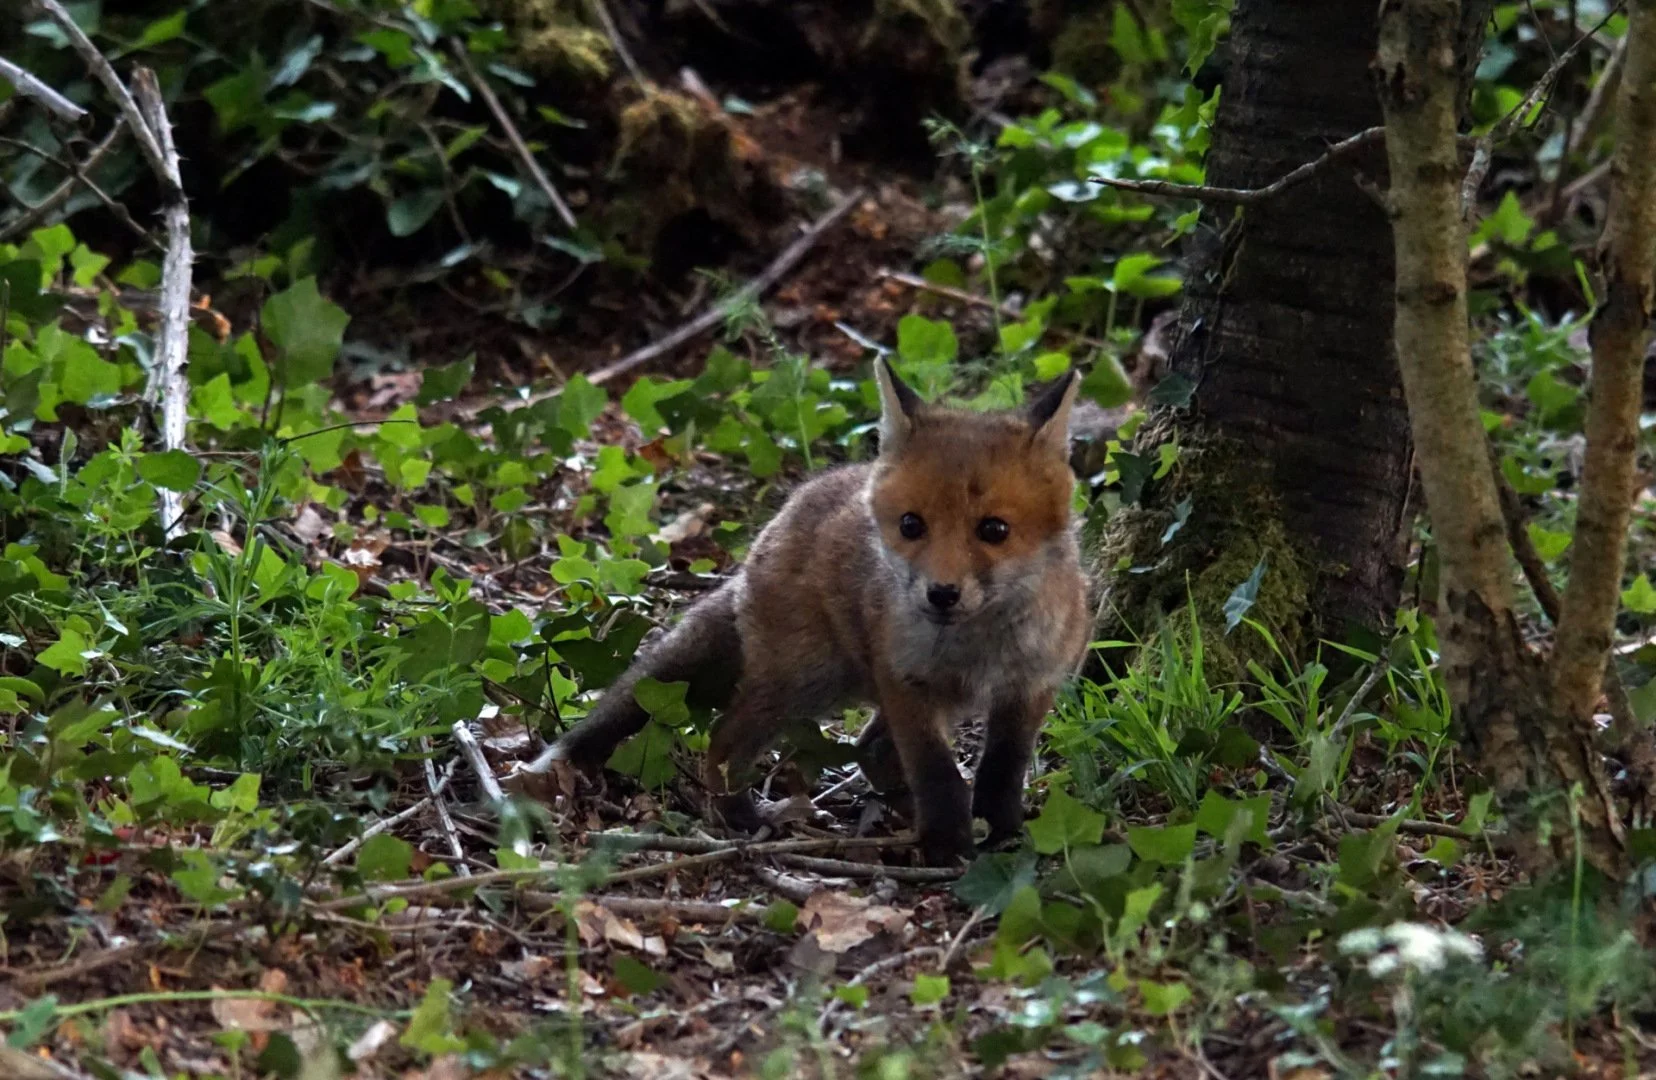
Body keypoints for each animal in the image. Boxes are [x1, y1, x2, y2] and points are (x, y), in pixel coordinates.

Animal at [523, 360, 1092, 864]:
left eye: (994, 530)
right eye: (911, 525)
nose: (942, 594)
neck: (977, 650)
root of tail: (777, 523)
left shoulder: (1031, 686)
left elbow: (1000, 773)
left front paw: (1003, 837)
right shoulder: (905, 682)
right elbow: (939, 776)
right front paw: (948, 848)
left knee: (870, 751)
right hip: (807, 682)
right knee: (727, 739)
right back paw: (742, 818)